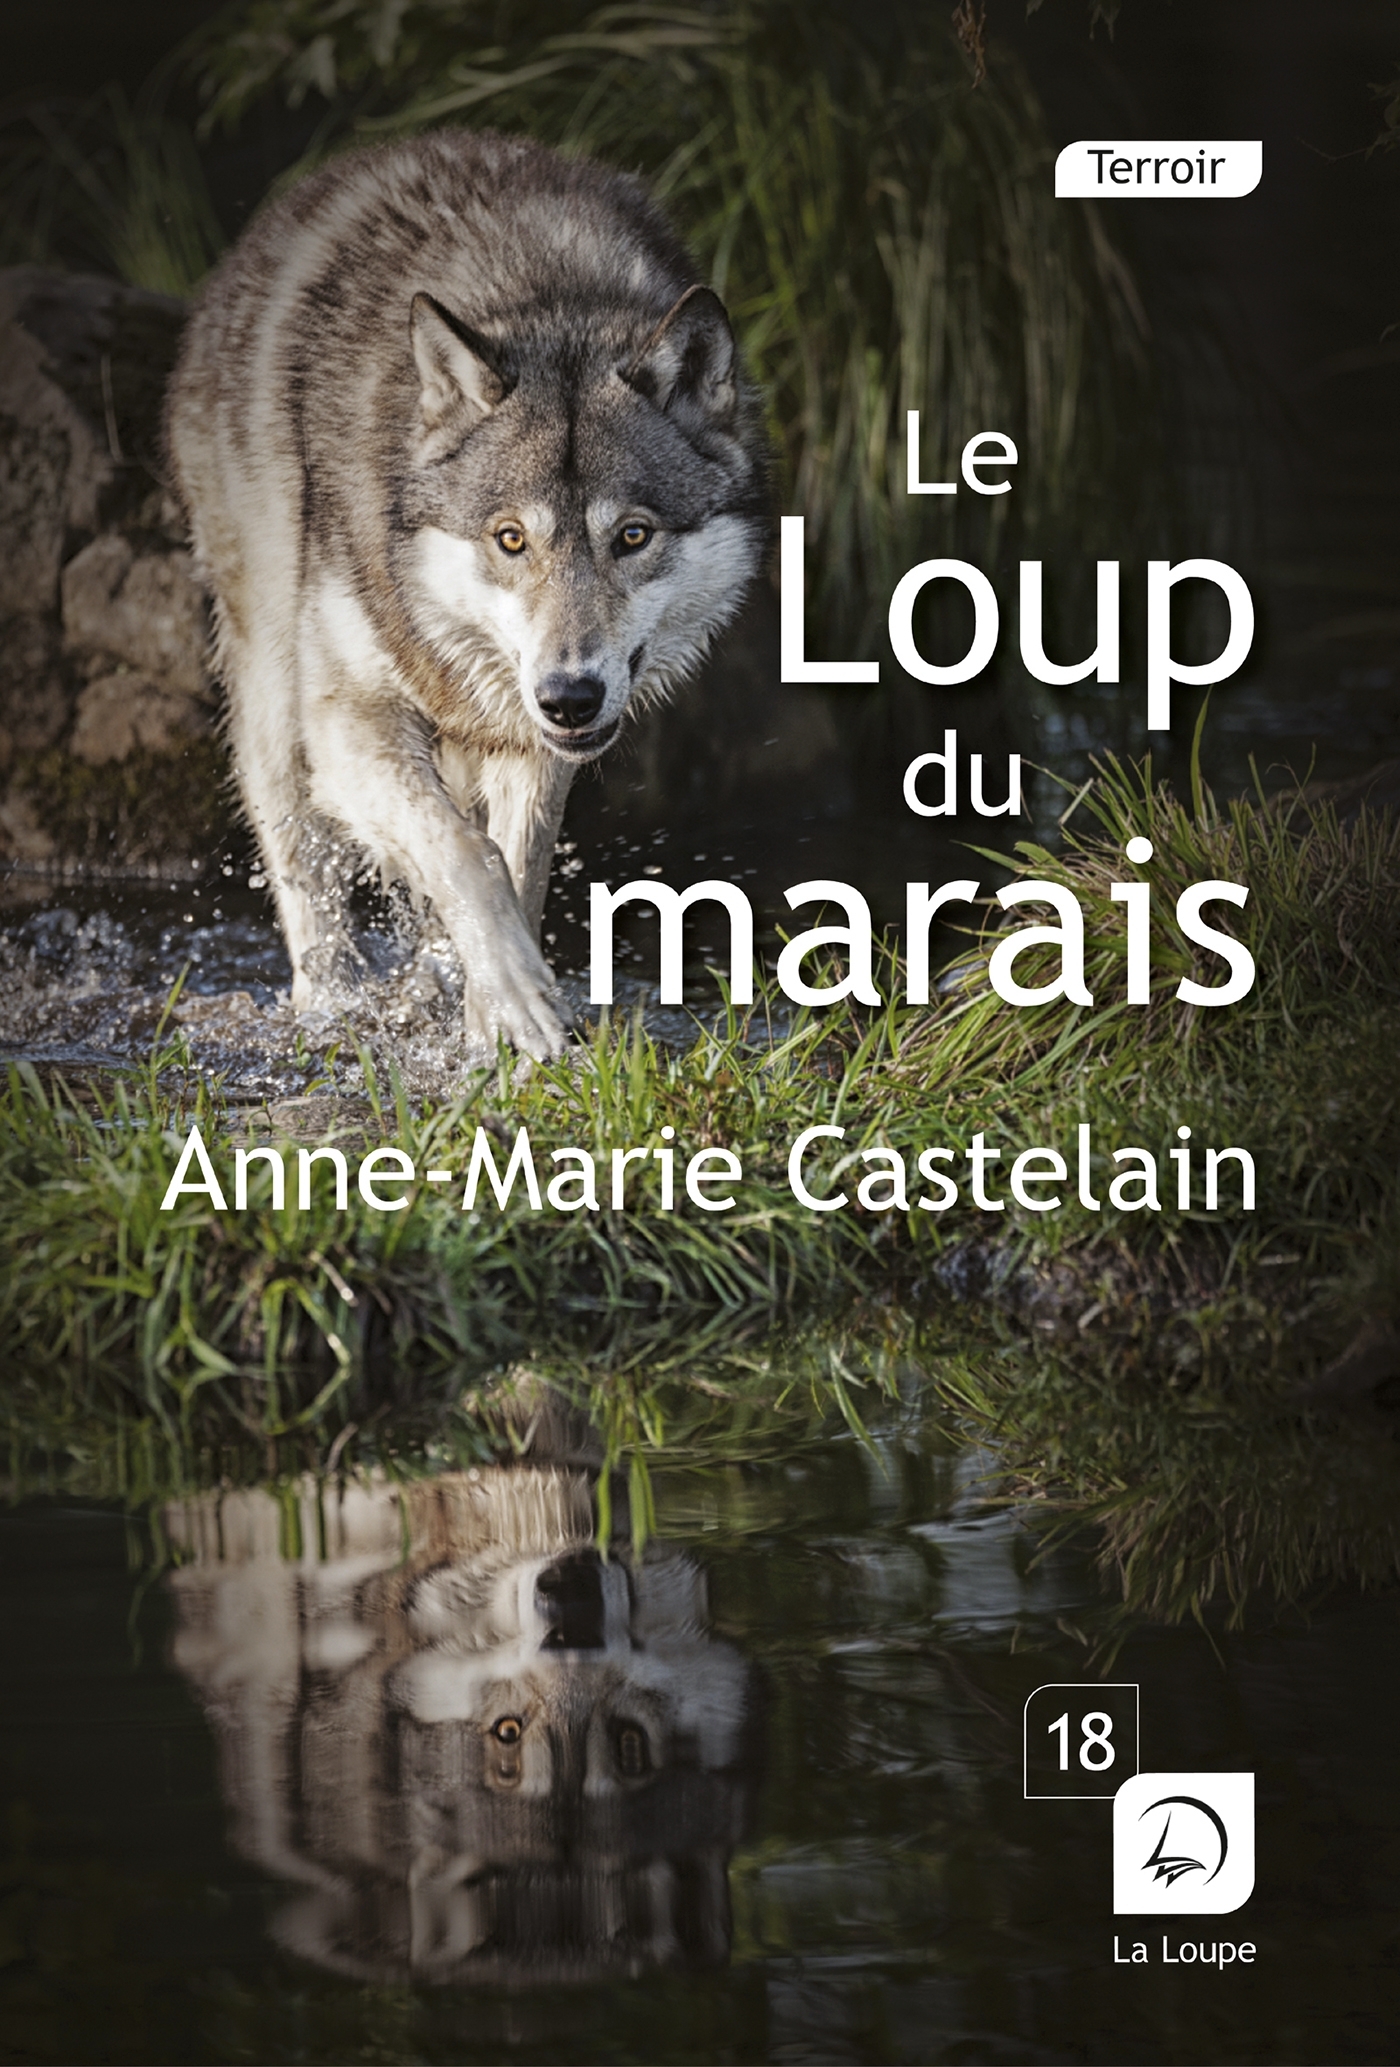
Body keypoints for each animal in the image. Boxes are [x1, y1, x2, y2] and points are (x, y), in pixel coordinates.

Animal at [165, 130, 768, 1058]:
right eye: (510, 538)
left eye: (632, 536)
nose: (570, 696)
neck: (543, 292)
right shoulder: (346, 719)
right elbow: (465, 853)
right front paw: (513, 993)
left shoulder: (532, 745)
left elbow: (515, 866)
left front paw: (491, 1031)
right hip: (273, 699)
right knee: (304, 859)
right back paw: (329, 1007)